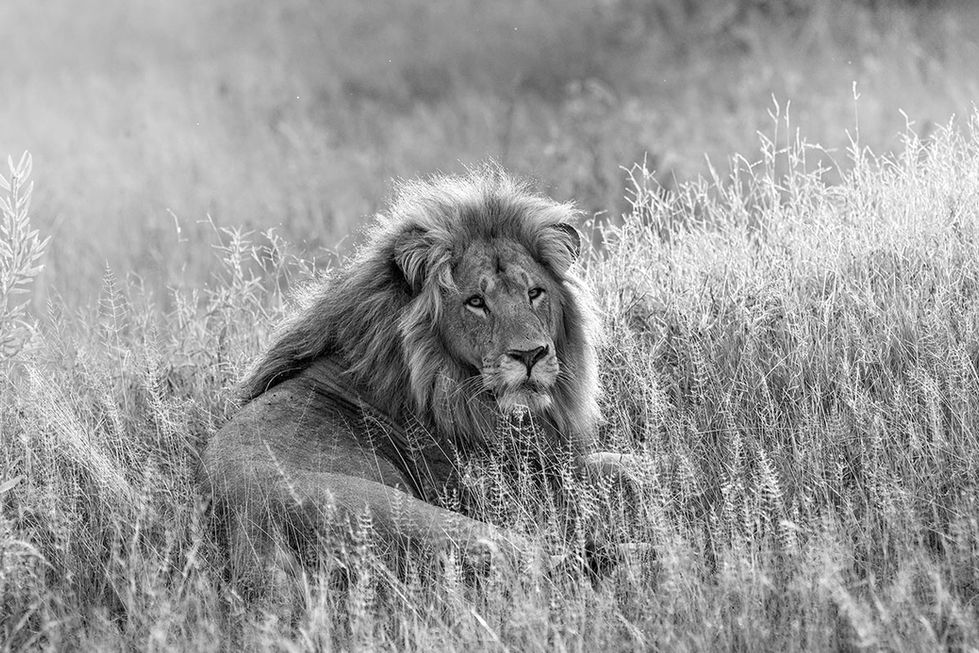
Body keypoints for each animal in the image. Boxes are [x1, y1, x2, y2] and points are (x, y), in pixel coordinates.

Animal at [203, 168, 641, 592]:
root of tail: (253, 532)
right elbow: (619, 469)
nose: (531, 355)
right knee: (549, 564)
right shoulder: (504, 483)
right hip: (425, 517)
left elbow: (632, 463)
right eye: (476, 302)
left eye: (535, 292)